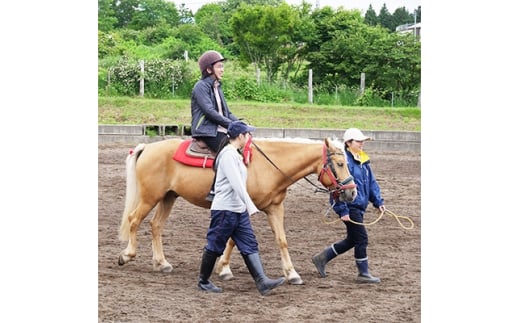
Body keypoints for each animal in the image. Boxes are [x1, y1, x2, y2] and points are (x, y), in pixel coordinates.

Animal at [118, 137, 358, 286]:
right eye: (339, 163)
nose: (352, 192)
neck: (270, 166)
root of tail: (147, 148)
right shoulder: (242, 207)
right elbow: (234, 240)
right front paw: (224, 269)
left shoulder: (275, 208)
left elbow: (281, 240)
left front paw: (292, 273)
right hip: (150, 197)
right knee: (133, 220)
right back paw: (127, 255)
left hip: (168, 197)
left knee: (155, 225)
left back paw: (162, 263)